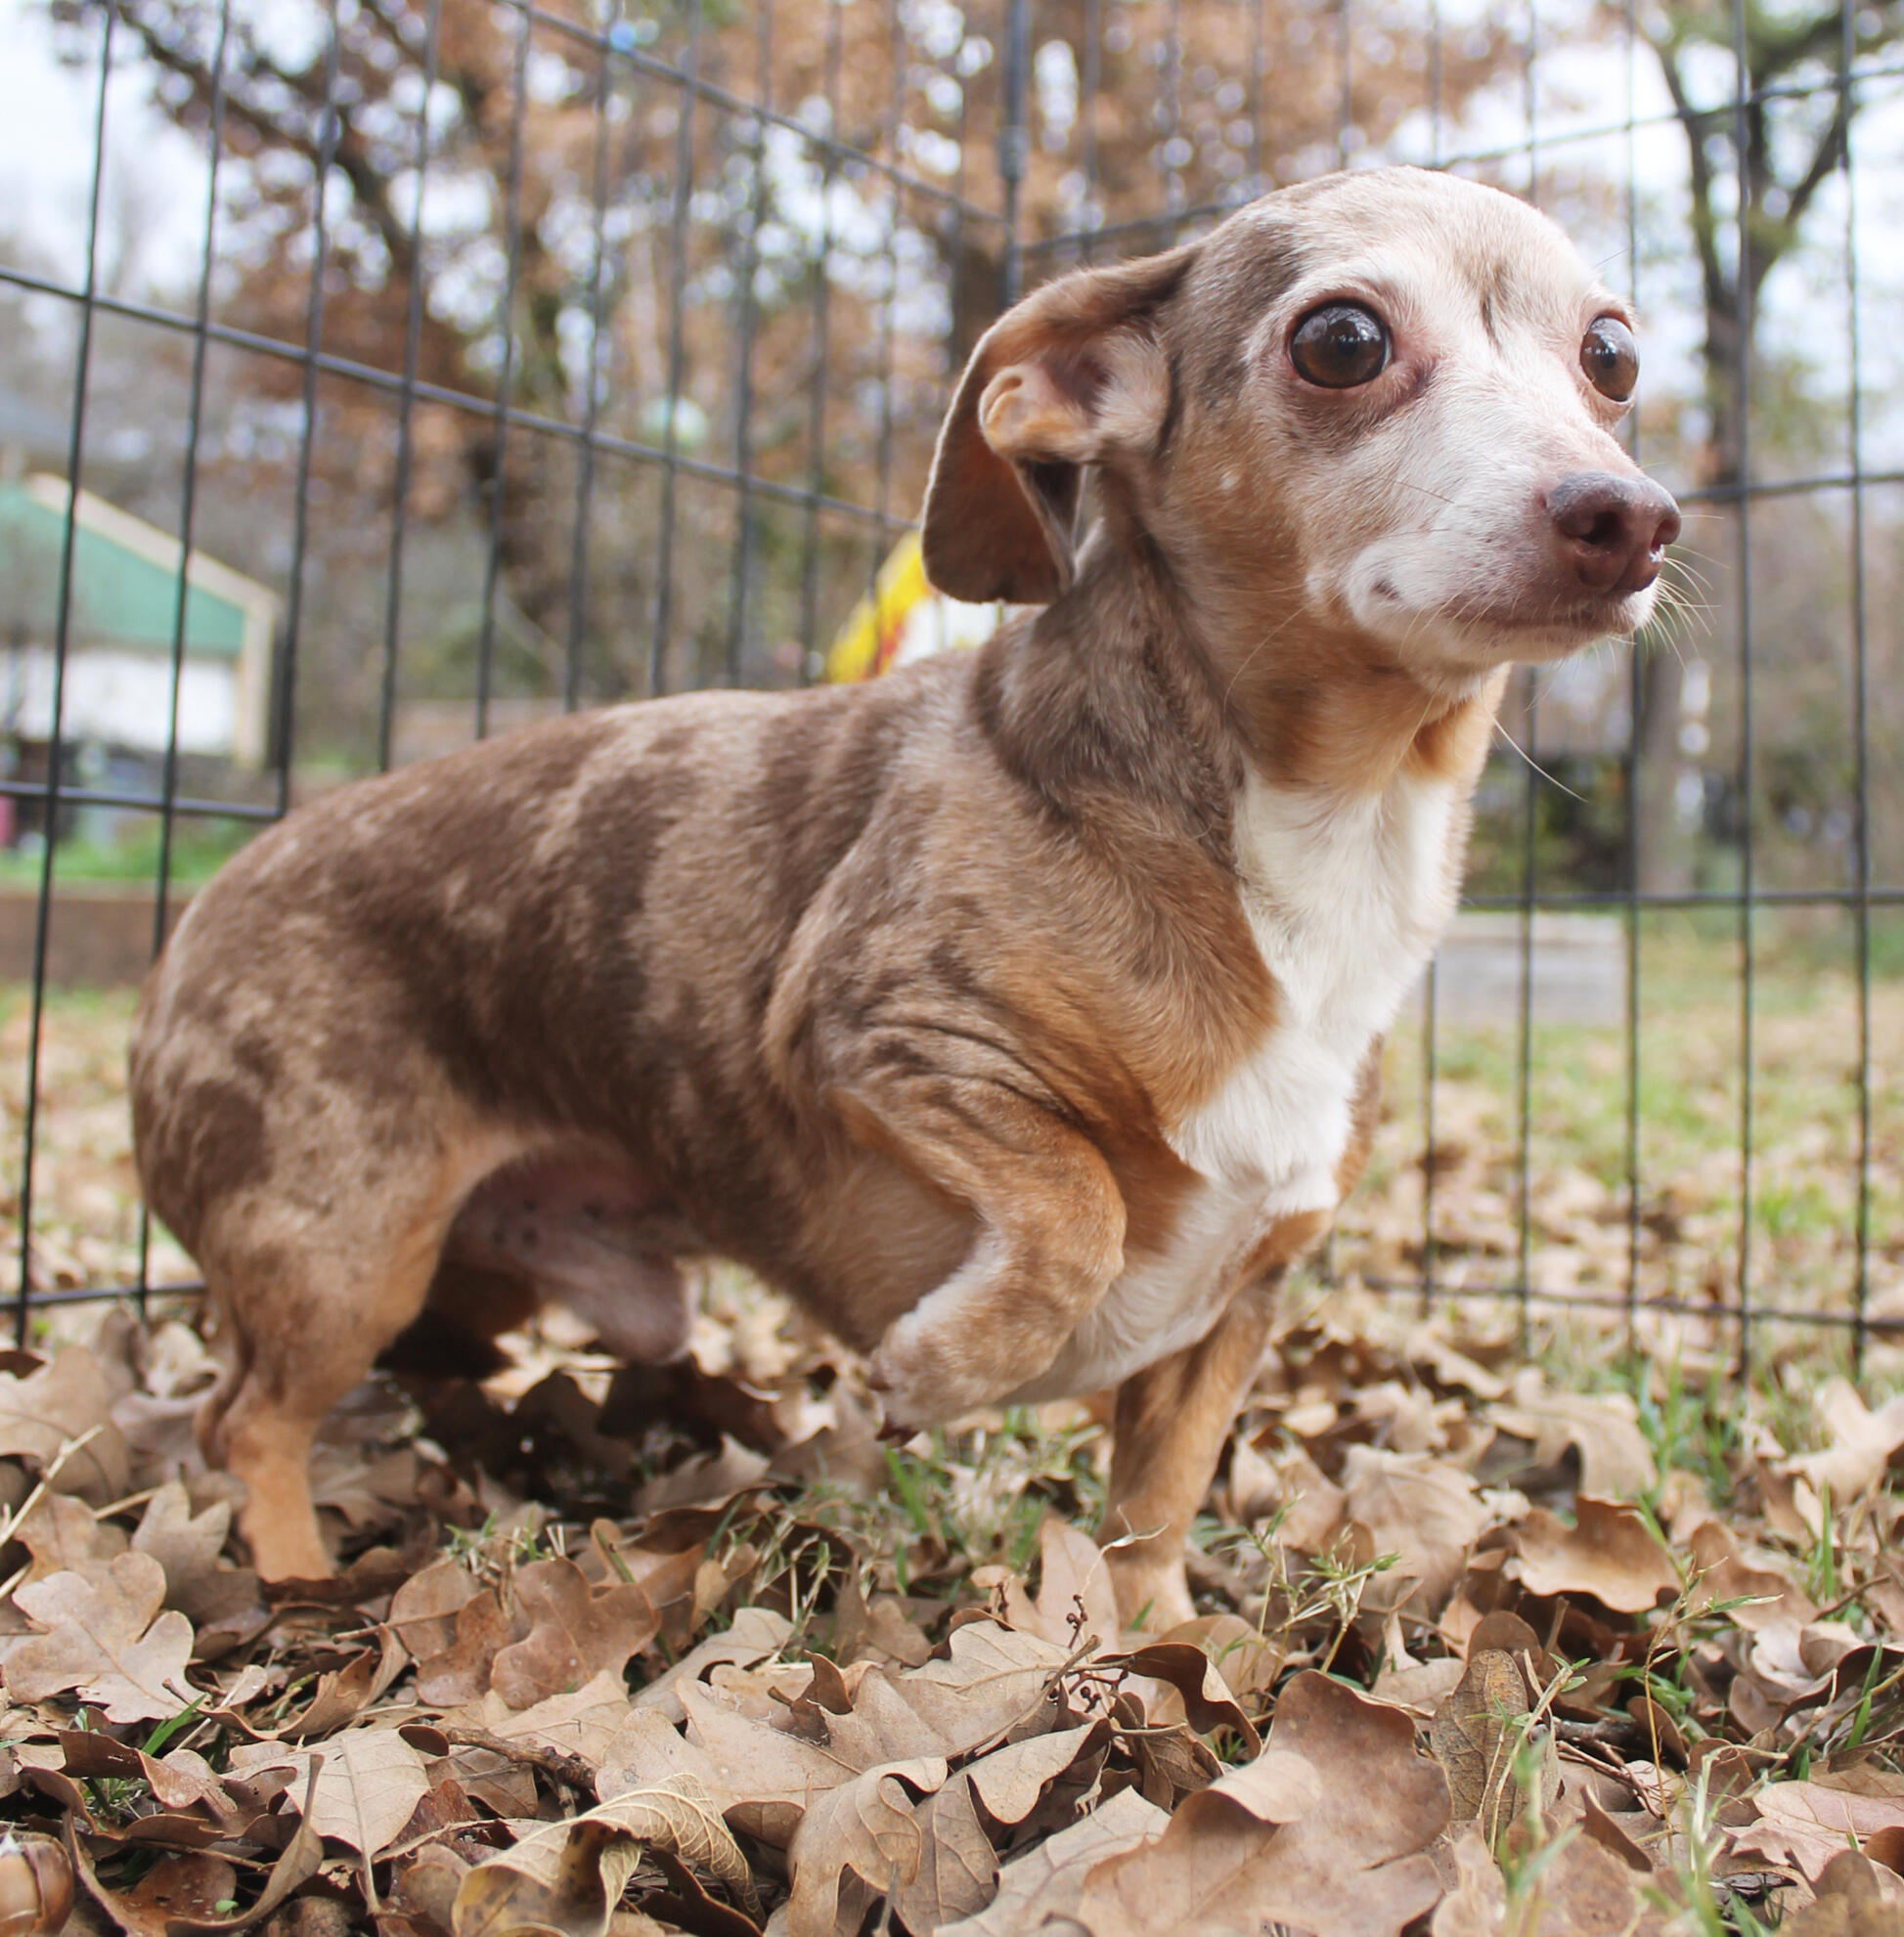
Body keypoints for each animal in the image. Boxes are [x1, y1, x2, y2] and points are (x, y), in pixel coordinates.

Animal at [130, 166, 1678, 1624]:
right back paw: (291, 1571)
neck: (1315, 845)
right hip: (341, 1251)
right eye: (1341, 340)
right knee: (238, 1421)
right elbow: (1074, 1213)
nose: (1629, 515)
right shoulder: (885, 1037)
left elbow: (1155, 1502)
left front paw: (1164, 1640)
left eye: (1610, 355)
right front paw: (940, 1369)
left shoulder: (1235, 1305)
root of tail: (210, 897)